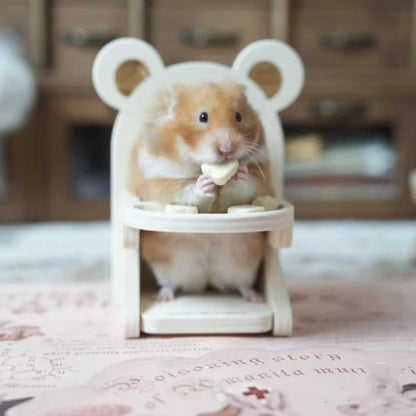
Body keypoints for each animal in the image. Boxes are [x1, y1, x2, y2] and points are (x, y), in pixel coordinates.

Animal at [128, 81, 274, 302]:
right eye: (202, 117)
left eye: (239, 116)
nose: (227, 149)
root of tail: (205, 281)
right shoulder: (160, 182)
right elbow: (185, 190)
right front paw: (205, 183)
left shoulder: (259, 177)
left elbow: (245, 186)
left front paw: (238, 173)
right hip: (166, 264)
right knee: (169, 283)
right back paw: (163, 297)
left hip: (245, 263)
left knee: (242, 284)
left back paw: (255, 298)